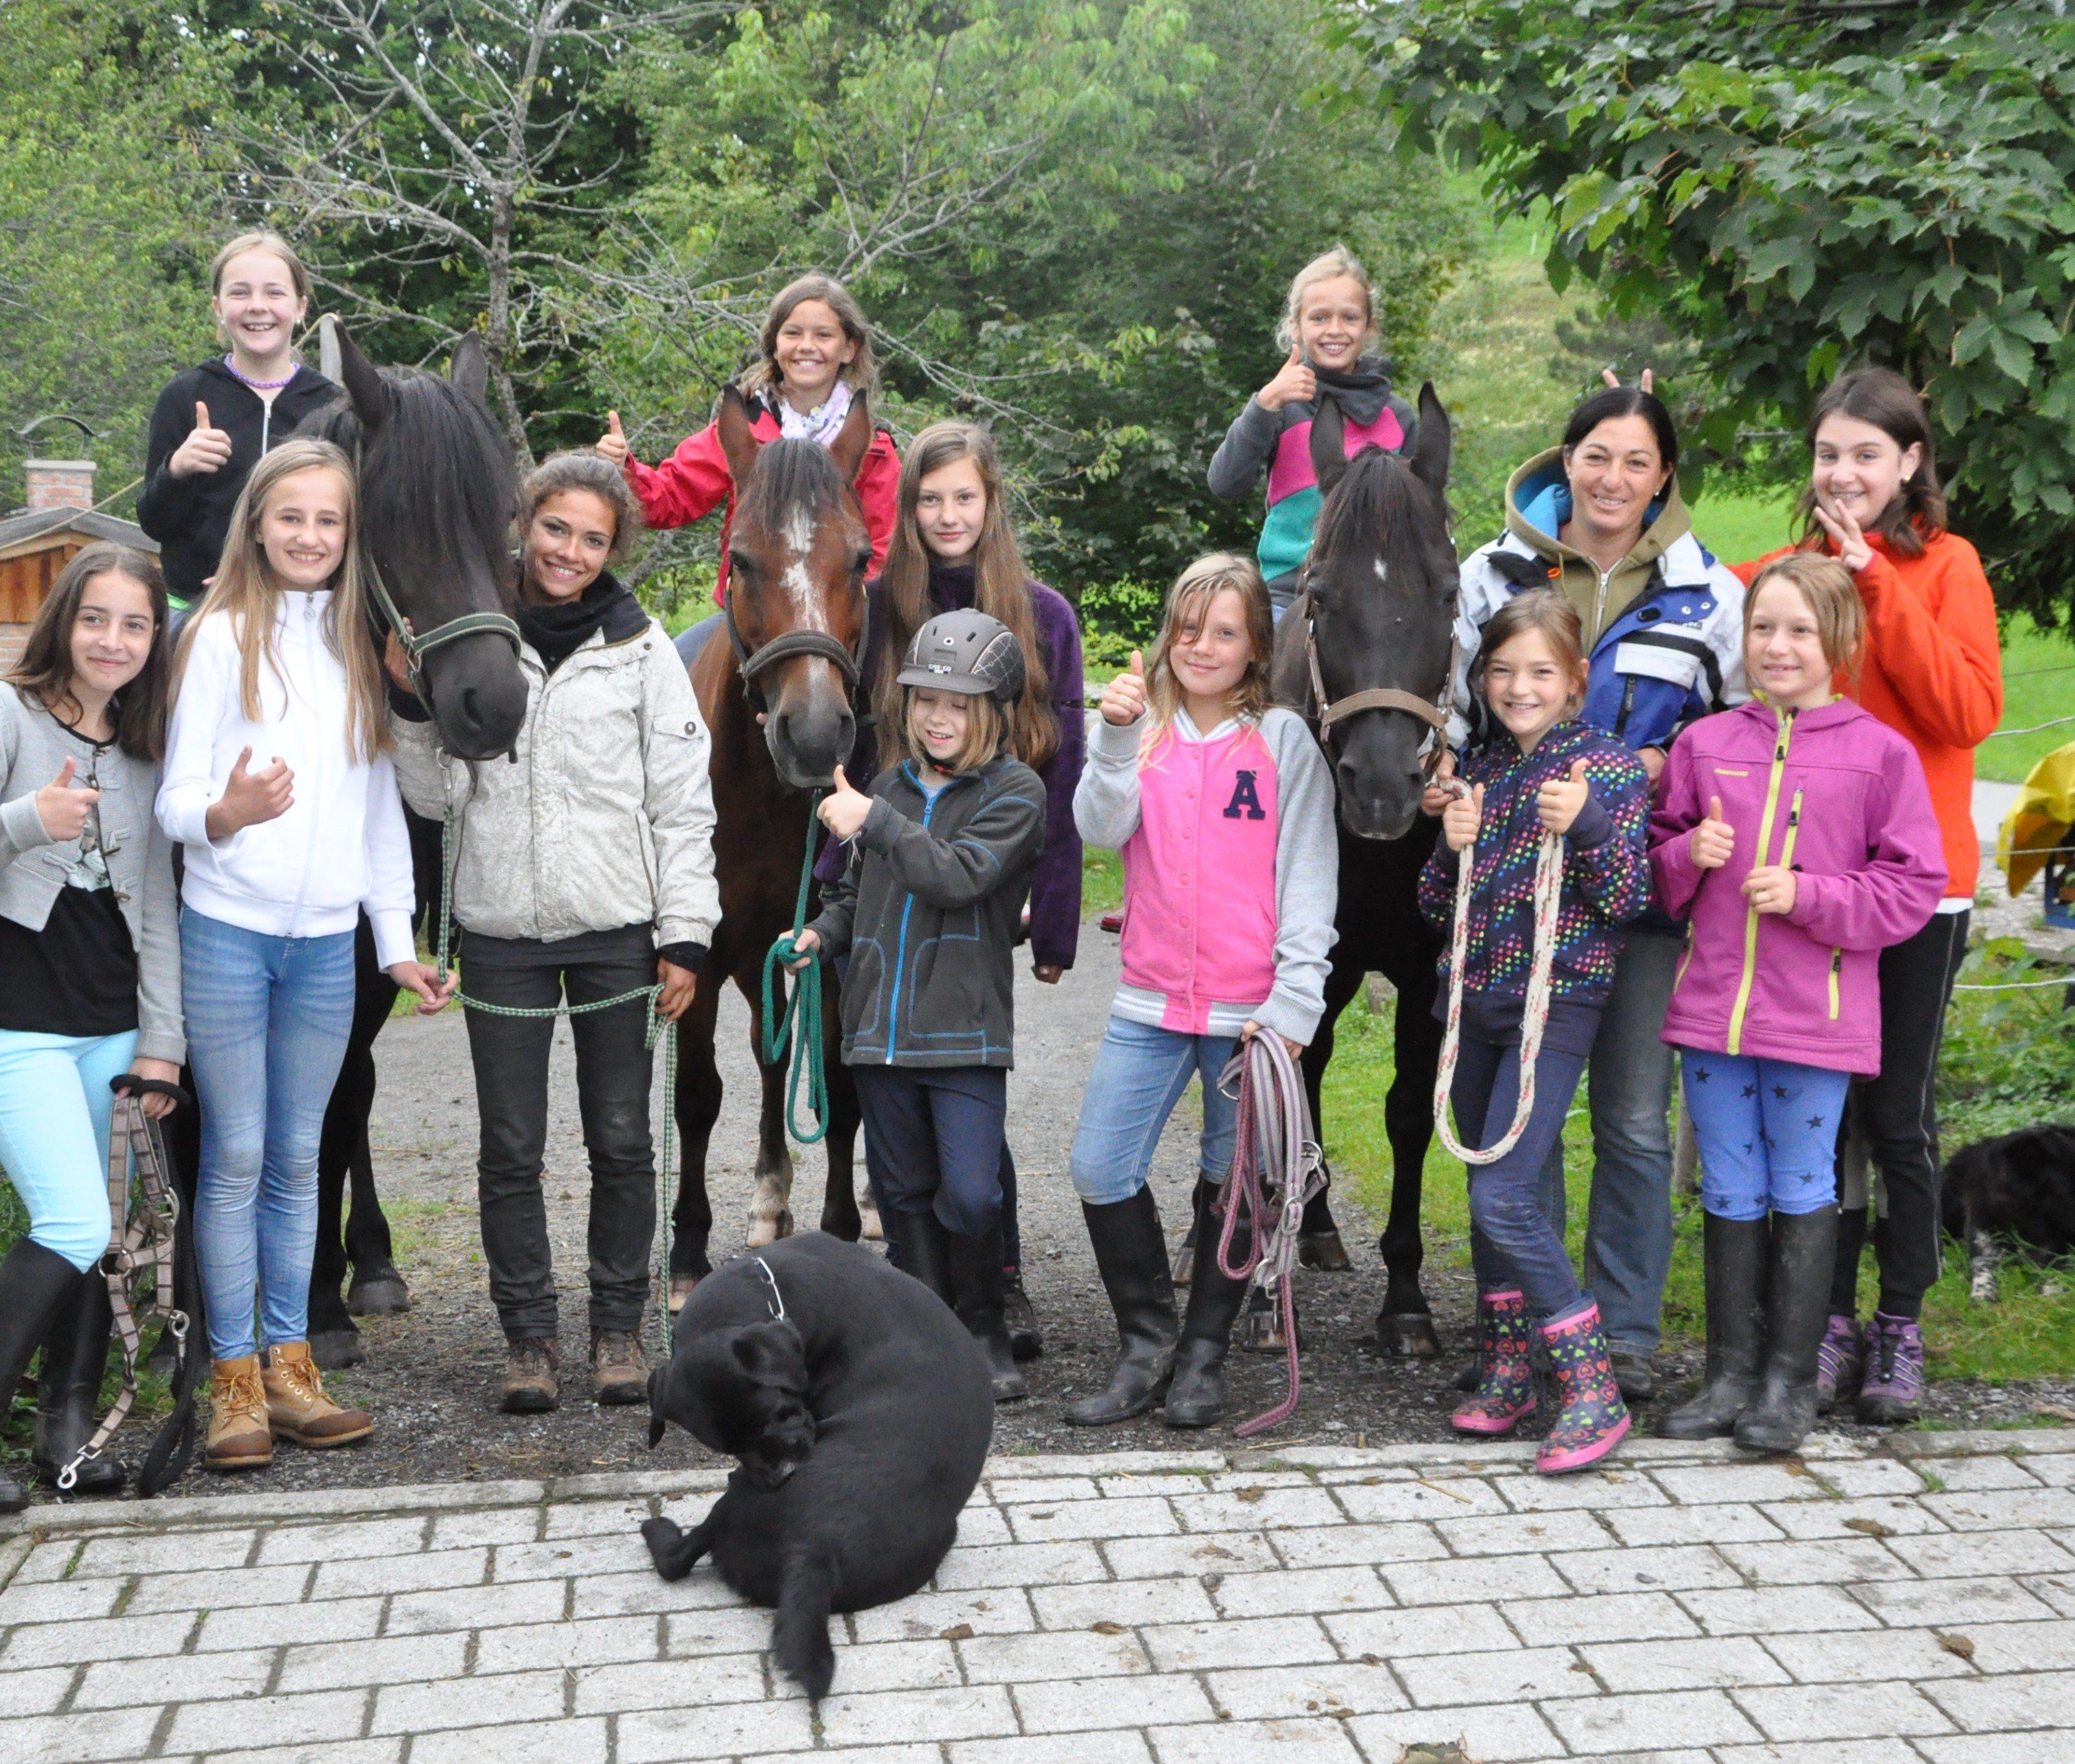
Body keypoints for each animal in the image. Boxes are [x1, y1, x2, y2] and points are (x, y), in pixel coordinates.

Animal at [639, 1220, 996, 1693]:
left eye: (782, 1412)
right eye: (728, 1447)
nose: (780, 1475)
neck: (771, 1289)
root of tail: (813, 1554)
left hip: (734, 1504)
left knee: (678, 1556)